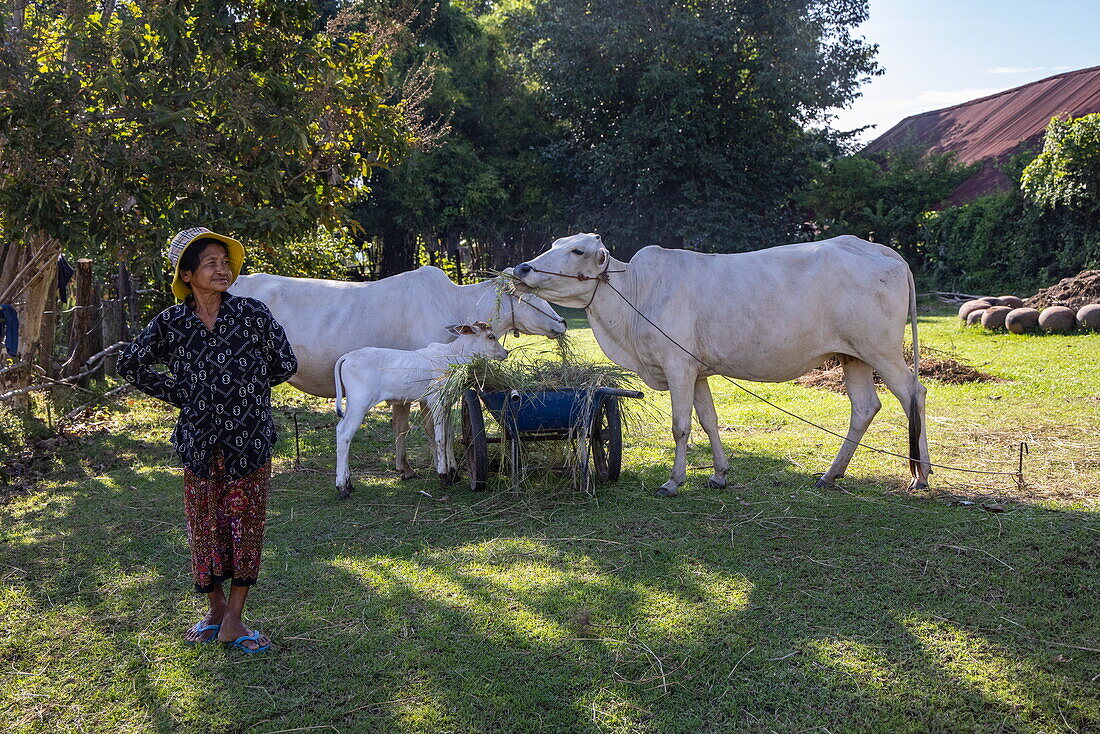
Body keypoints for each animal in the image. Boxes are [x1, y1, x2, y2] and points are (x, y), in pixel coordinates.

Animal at [228, 267, 563, 479]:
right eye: (532, 296)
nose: (561, 322)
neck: (454, 302)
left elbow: (403, 426)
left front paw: (406, 468)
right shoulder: (431, 389)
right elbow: (437, 428)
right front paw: (449, 469)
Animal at [332, 323, 508, 499]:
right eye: (491, 336)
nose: (506, 352)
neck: (453, 356)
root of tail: (347, 357)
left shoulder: (447, 404)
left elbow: (449, 436)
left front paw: (453, 472)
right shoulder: (437, 402)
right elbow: (440, 438)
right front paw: (444, 476)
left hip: (352, 404)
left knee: (341, 429)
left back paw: (349, 483)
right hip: (360, 403)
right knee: (344, 434)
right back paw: (342, 487)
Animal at [514, 234, 928, 499]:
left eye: (577, 250)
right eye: (554, 244)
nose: (522, 269)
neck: (634, 292)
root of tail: (882, 250)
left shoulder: (677, 365)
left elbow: (681, 426)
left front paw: (673, 482)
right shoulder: (697, 371)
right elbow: (708, 420)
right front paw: (719, 475)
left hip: (881, 351)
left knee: (914, 393)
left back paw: (921, 475)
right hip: (853, 356)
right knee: (865, 407)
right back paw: (830, 475)